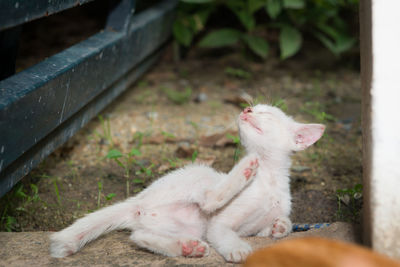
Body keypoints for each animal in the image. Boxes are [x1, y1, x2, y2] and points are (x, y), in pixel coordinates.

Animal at [50, 104, 324, 264]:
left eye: (266, 113)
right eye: (252, 108)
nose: (246, 109)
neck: (268, 178)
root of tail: (137, 201)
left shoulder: (256, 226)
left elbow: (276, 225)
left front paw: (281, 226)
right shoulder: (219, 223)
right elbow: (224, 232)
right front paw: (237, 249)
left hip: (181, 226)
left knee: (138, 236)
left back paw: (186, 248)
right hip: (197, 174)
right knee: (208, 199)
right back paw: (244, 169)